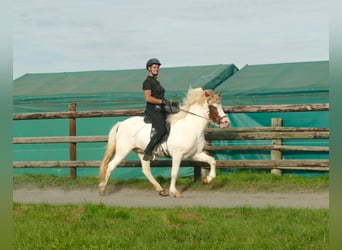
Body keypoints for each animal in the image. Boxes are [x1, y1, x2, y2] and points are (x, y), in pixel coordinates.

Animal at [100, 87, 231, 198]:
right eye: (213, 107)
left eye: (221, 105)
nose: (226, 123)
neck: (190, 127)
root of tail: (121, 123)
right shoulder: (177, 155)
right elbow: (174, 173)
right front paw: (174, 192)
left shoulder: (195, 154)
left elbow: (212, 161)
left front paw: (207, 179)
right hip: (122, 151)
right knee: (110, 166)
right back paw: (102, 189)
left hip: (141, 152)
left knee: (146, 171)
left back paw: (161, 190)